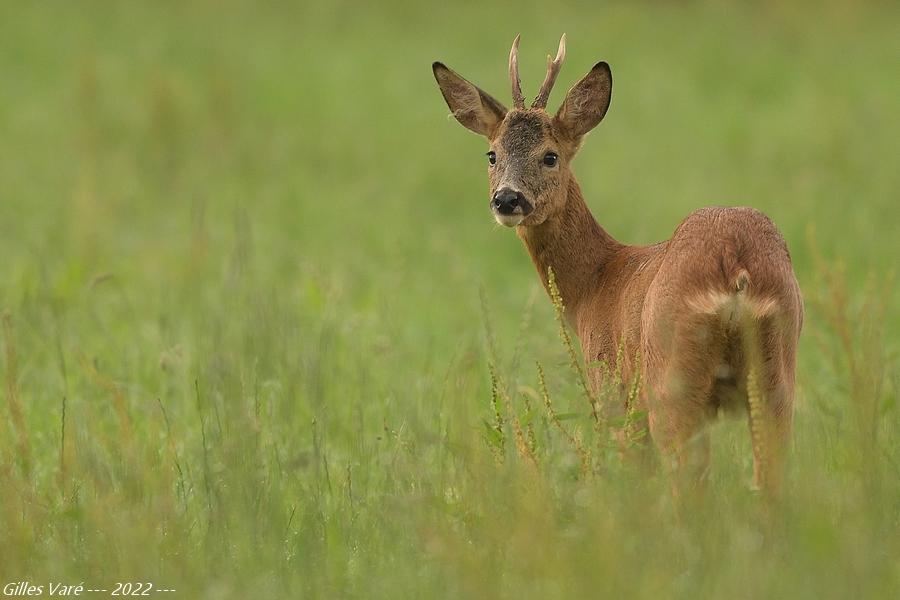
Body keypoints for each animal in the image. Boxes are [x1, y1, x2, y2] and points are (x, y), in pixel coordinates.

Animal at [432, 35, 804, 500]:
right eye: (492, 154)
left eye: (550, 156)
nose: (507, 199)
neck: (597, 282)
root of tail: (736, 270)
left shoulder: (612, 392)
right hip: (777, 374)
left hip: (671, 382)